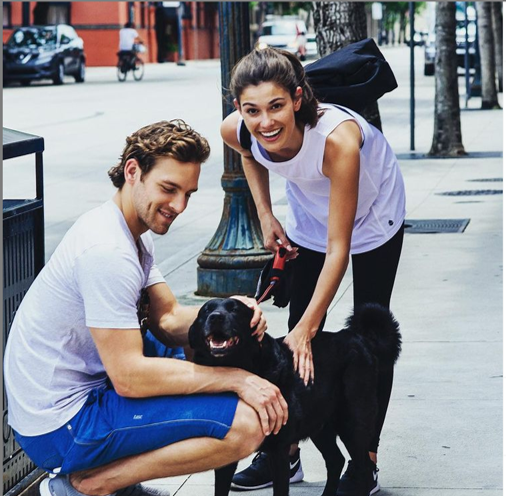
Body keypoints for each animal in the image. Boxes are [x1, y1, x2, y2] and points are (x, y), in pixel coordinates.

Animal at [188, 298, 402, 496]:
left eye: (235, 310)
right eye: (206, 311)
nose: (215, 317)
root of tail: (360, 339)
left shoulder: (278, 449)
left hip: (353, 423)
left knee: (362, 468)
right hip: (320, 425)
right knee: (336, 460)